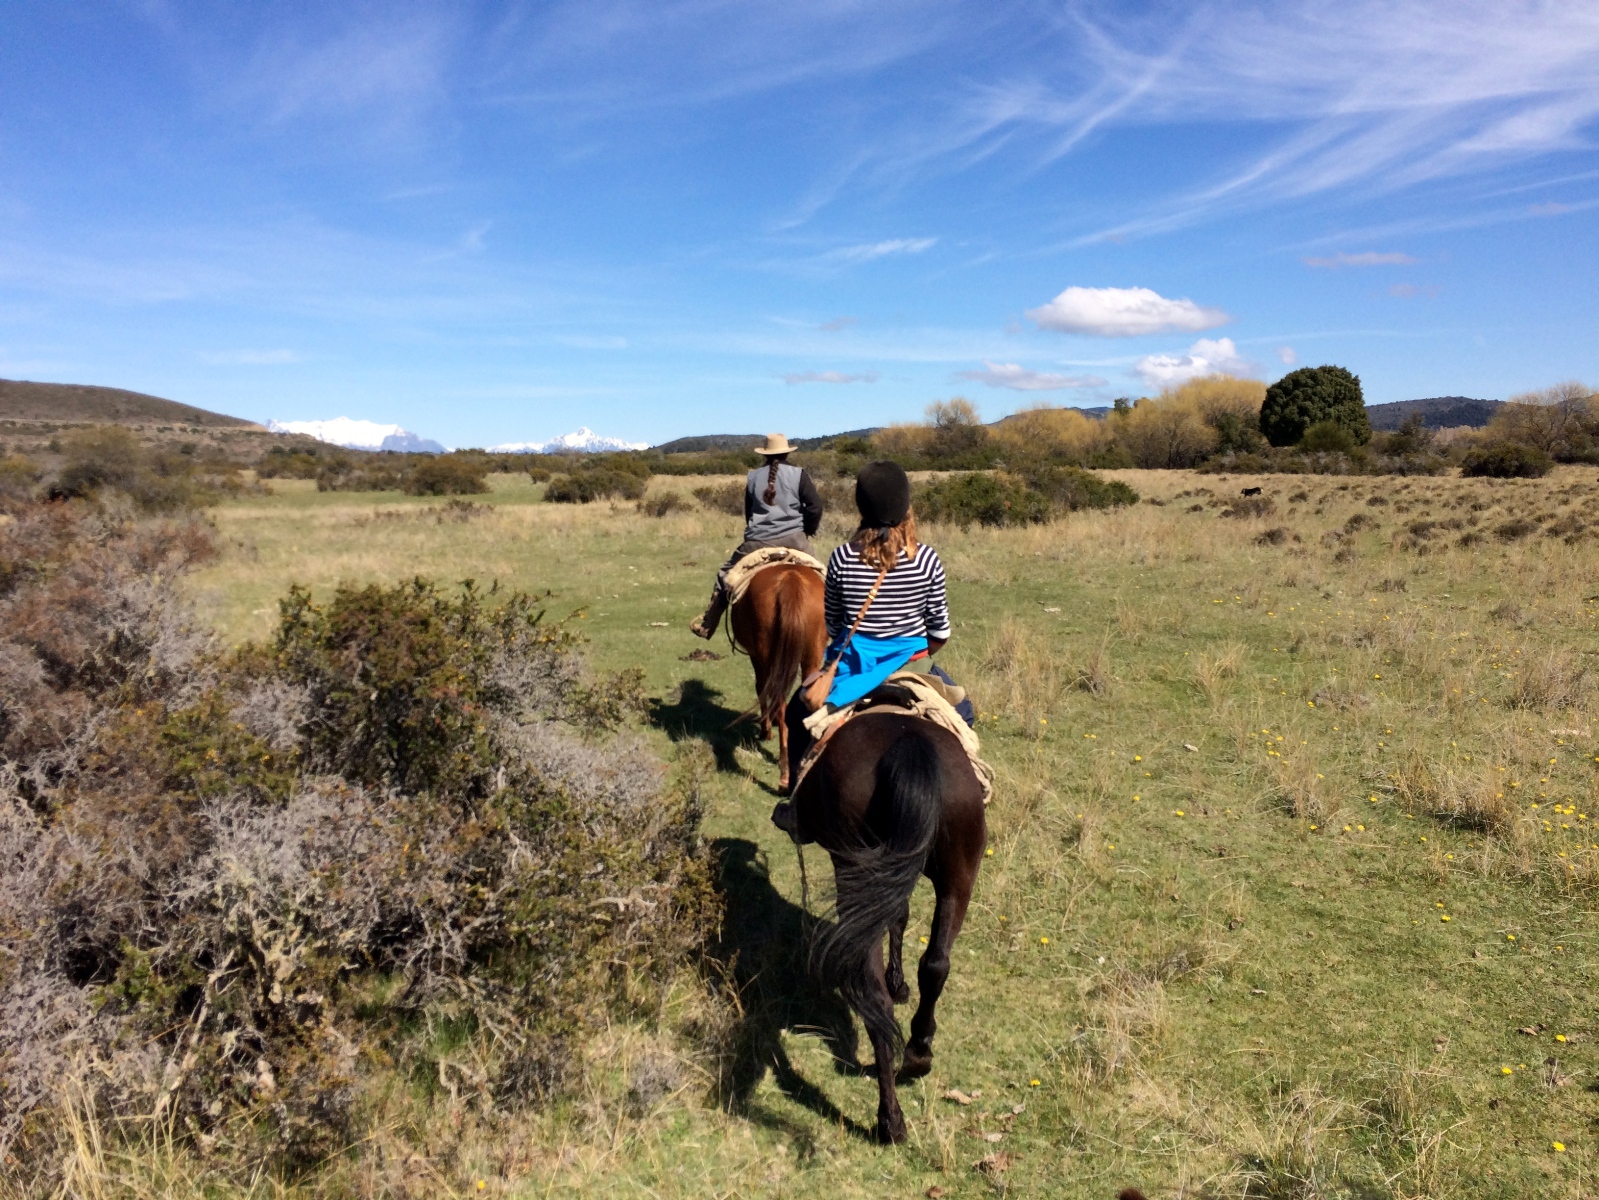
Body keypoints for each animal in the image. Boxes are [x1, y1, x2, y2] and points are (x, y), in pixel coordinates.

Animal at [728, 562, 826, 794]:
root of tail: (791, 578)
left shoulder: (756, 657)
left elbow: (760, 688)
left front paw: (765, 730)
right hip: (812, 654)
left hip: (766, 654)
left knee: (778, 701)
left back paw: (784, 772)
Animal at [780, 709, 987, 1144]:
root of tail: (909, 743)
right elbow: (903, 918)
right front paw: (901, 983)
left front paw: (897, 982)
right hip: (959, 877)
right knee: (936, 964)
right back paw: (918, 1055)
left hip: (857, 875)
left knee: (874, 998)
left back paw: (889, 1121)